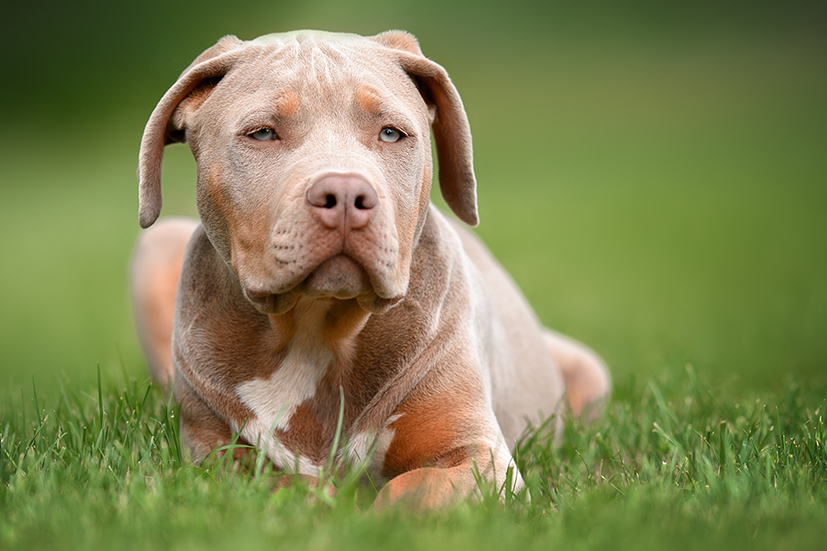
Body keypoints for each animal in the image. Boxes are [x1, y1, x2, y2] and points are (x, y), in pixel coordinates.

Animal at [129, 30, 608, 512]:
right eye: (262, 132)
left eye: (391, 133)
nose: (344, 194)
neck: (315, 331)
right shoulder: (214, 459)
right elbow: (279, 483)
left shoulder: (480, 458)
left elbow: (409, 491)